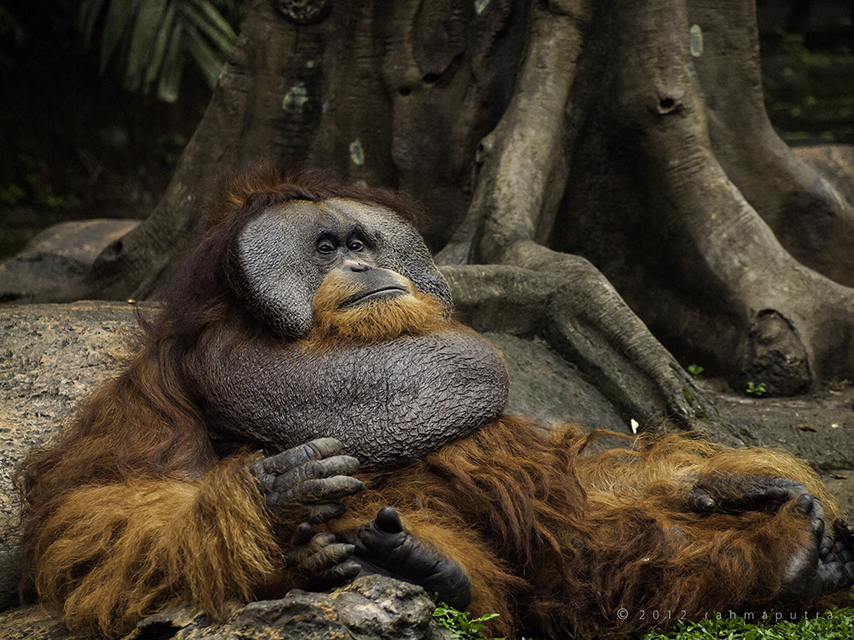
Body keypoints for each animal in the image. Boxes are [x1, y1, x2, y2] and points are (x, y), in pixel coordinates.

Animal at [15, 167, 854, 639]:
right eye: (325, 248)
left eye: (364, 241)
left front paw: (740, 481)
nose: (363, 262)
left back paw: (793, 561)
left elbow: (560, 471)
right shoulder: (152, 392)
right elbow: (96, 514)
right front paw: (273, 492)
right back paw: (410, 565)